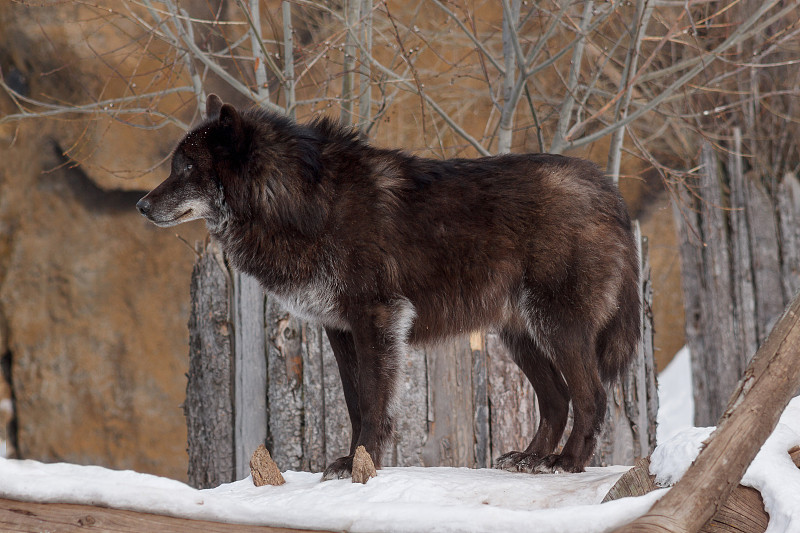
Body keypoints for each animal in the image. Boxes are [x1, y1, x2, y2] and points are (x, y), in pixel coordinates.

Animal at [136, 93, 636, 480]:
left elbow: (376, 400)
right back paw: (531, 458)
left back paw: (566, 463)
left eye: (187, 168)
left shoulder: (377, 317)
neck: (303, 202)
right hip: (520, 335)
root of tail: (608, 189)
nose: (140, 205)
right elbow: (355, 401)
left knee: (591, 397)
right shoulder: (339, 328)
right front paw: (351, 461)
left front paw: (367, 463)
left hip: (557, 327)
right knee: (556, 399)